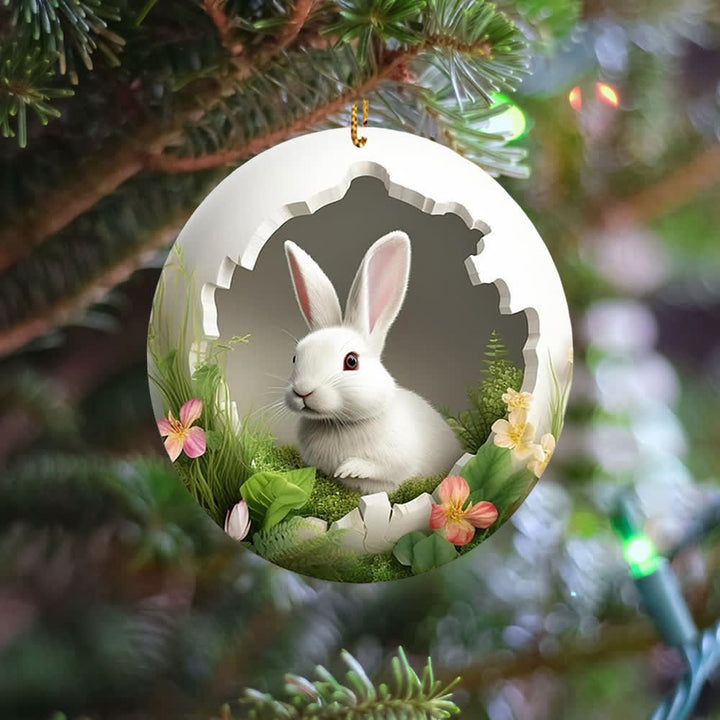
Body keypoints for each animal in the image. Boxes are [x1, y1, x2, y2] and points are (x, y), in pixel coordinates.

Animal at [283, 230, 462, 494]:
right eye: (295, 357)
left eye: (351, 361)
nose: (302, 391)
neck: (338, 423)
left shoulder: (398, 461)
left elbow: (383, 469)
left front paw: (349, 468)